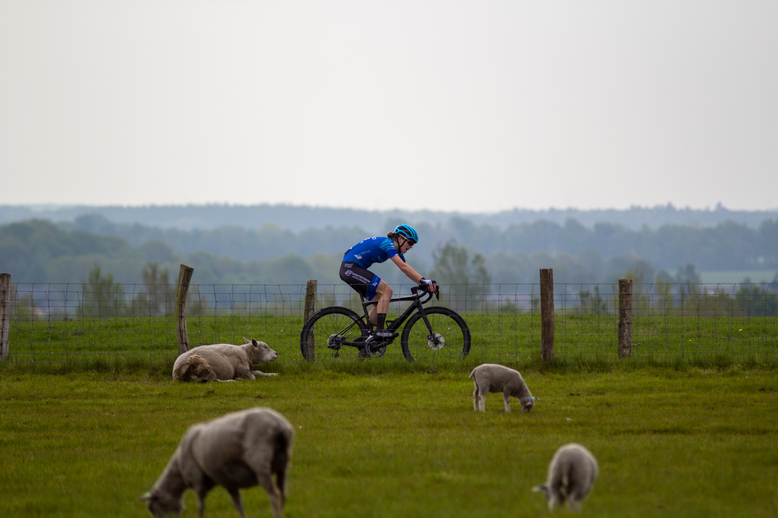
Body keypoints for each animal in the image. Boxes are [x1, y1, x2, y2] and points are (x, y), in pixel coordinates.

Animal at [139, 408, 294, 516]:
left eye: (154, 509)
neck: (179, 469)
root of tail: (279, 426)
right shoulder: (229, 481)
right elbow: (238, 505)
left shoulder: (198, 481)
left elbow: (200, 506)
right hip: (283, 464)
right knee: (283, 493)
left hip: (260, 462)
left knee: (274, 494)